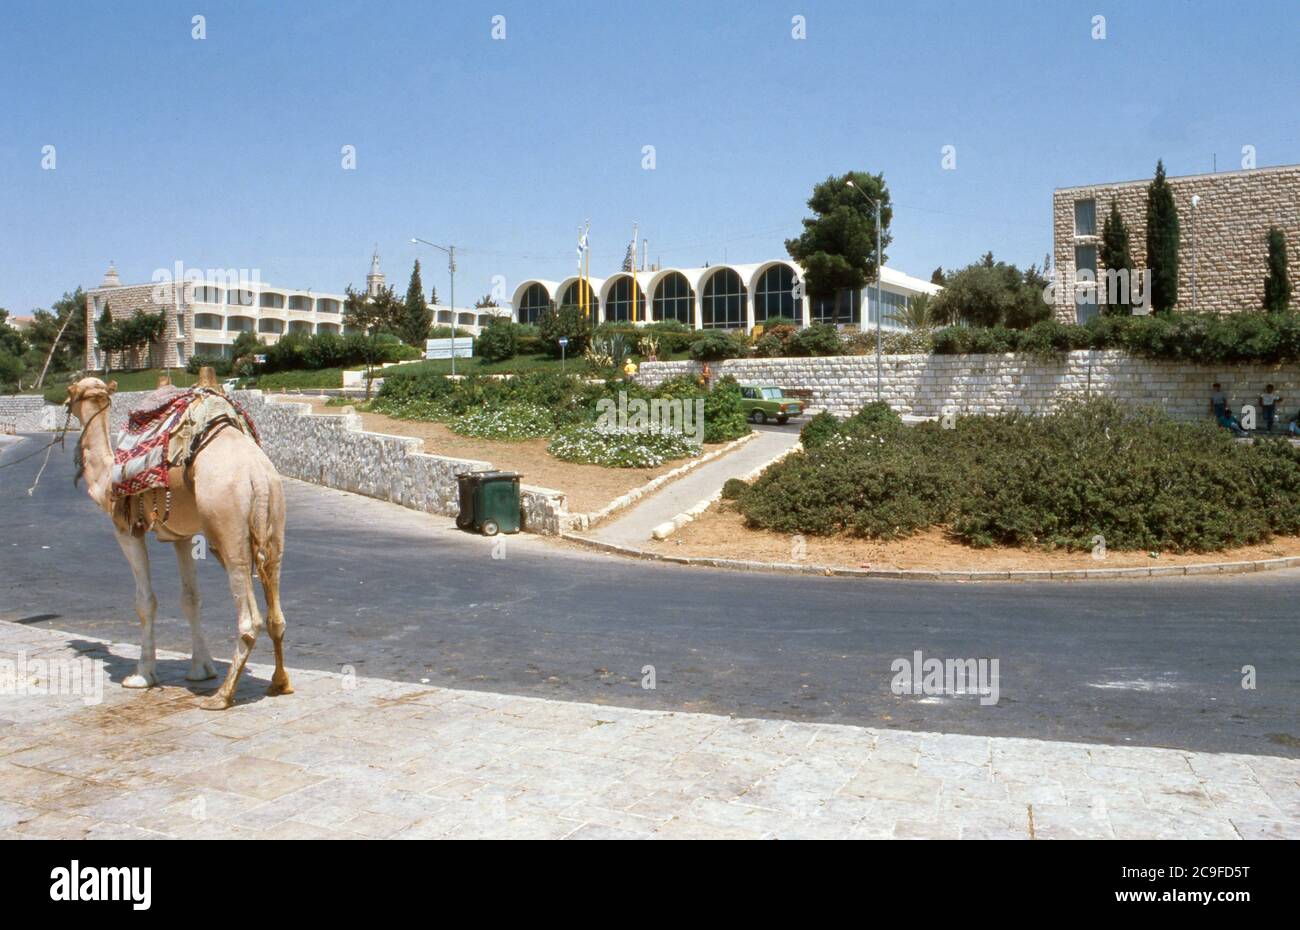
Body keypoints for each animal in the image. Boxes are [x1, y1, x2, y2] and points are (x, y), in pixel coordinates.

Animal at [66, 374, 292, 707]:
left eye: (72, 391)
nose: (60, 398)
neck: (106, 479)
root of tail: (257, 476)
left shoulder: (127, 530)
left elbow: (145, 601)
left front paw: (141, 676)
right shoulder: (181, 537)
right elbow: (190, 598)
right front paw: (201, 669)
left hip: (227, 525)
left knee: (249, 615)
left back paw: (222, 696)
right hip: (274, 517)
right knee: (276, 609)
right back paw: (279, 683)